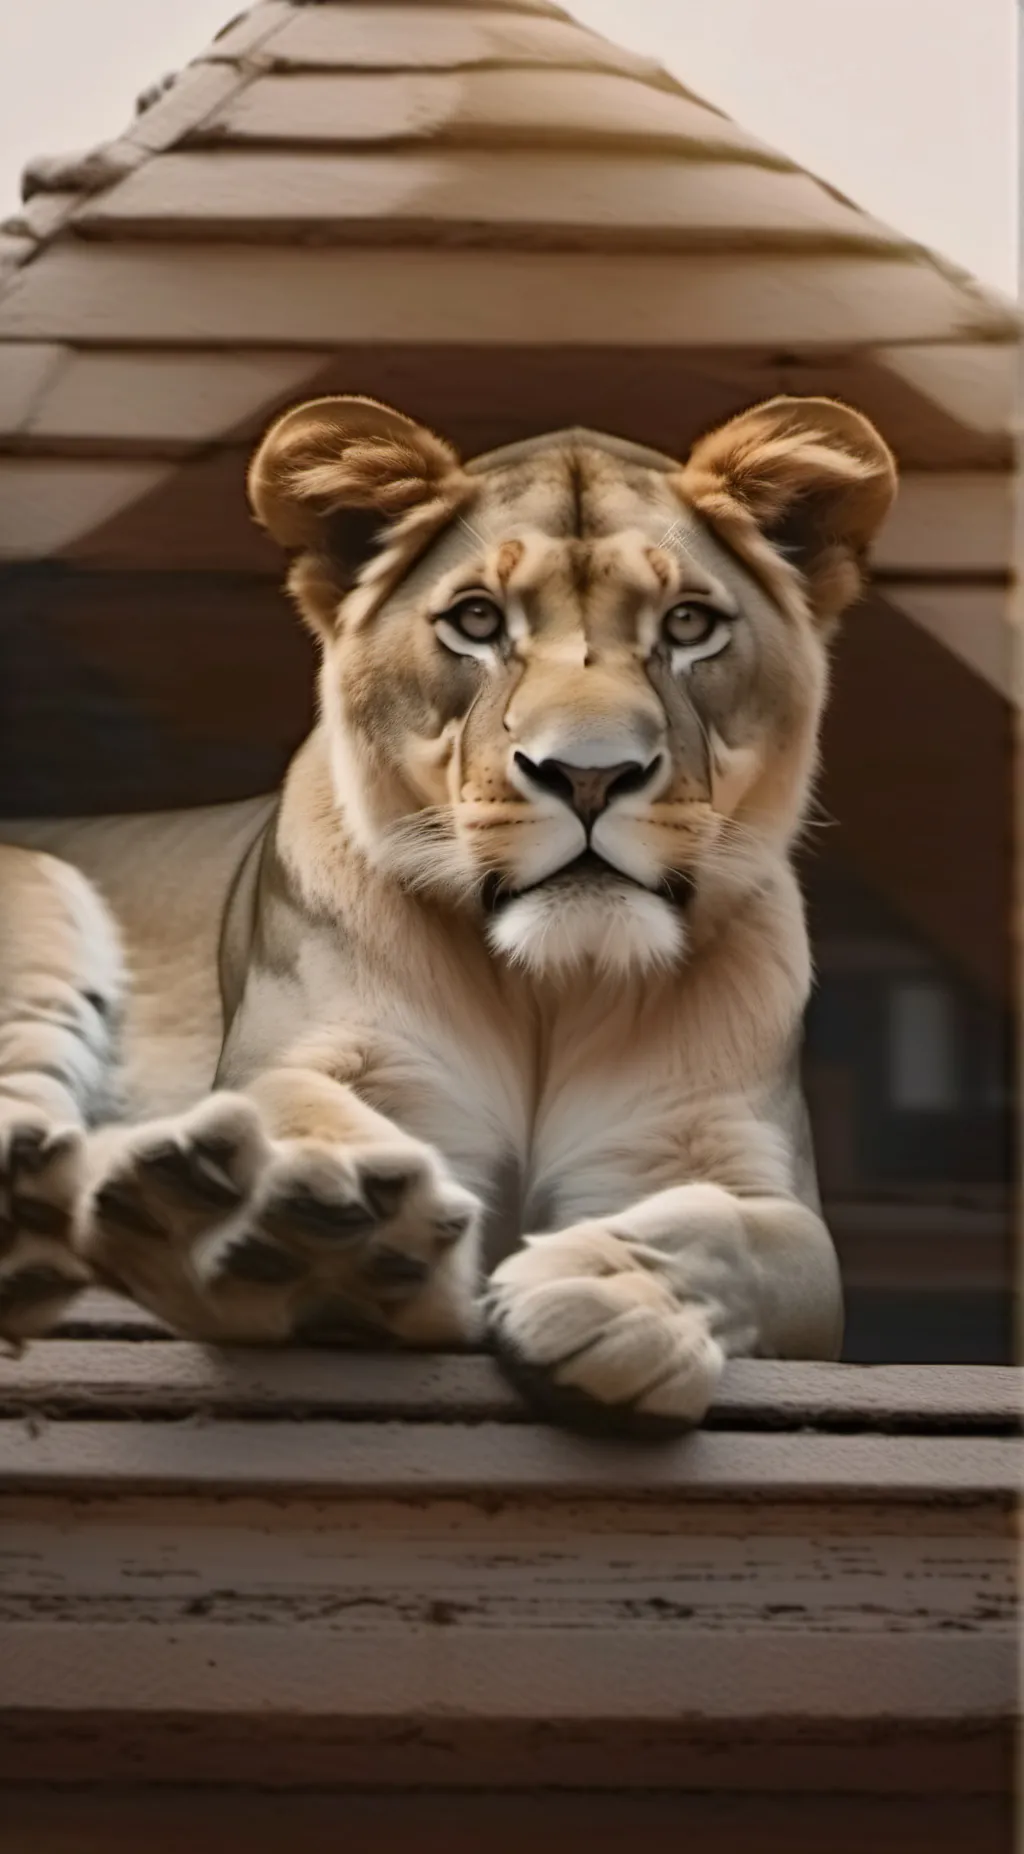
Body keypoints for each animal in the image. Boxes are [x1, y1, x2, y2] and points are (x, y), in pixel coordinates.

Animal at [0, 392, 896, 1430]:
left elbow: (738, 1234)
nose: (589, 775)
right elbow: (297, 1107)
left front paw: (607, 1291)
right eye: (477, 619)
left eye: (688, 624)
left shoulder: (723, 1161)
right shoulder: (348, 1068)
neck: (554, 989)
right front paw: (293, 1221)